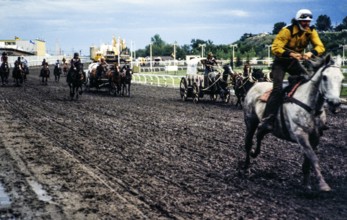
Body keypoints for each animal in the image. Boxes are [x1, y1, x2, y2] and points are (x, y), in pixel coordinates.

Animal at [245, 54, 346, 191]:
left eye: (342, 78)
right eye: (325, 77)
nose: (335, 103)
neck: (310, 106)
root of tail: (255, 86)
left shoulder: (315, 137)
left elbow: (308, 161)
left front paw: (306, 184)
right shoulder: (300, 135)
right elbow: (313, 158)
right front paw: (323, 184)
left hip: (266, 125)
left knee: (260, 134)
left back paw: (254, 153)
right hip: (250, 122)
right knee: (248, 142)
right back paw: (246, 167)